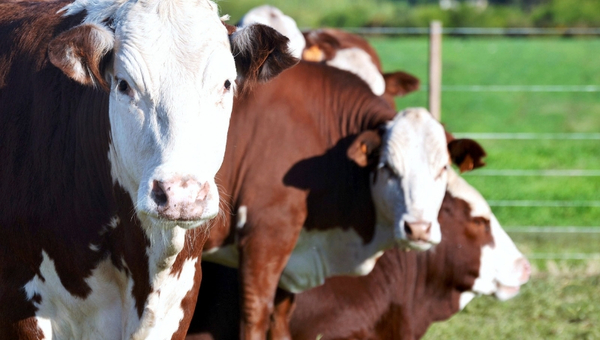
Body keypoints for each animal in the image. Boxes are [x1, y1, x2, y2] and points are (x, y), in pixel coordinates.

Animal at [199, 59, 486, 338]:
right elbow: (256, 315)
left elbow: (280, 320)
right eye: (387, 168)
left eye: (443, 168)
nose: (417, 229)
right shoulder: (265, 237)